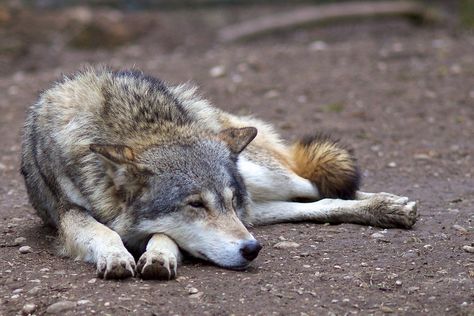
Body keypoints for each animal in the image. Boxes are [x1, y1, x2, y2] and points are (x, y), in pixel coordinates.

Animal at [20, 66, 416, 278]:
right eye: (196, 205)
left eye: (224, 201)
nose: (252, 249)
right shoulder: (70, 214)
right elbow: (102, 232)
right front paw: (116, 256)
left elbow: (164, 236)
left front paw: (160, 256)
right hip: (256, 206)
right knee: (317, 202)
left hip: (261, 182)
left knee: (319, 186)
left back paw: (393, 206)